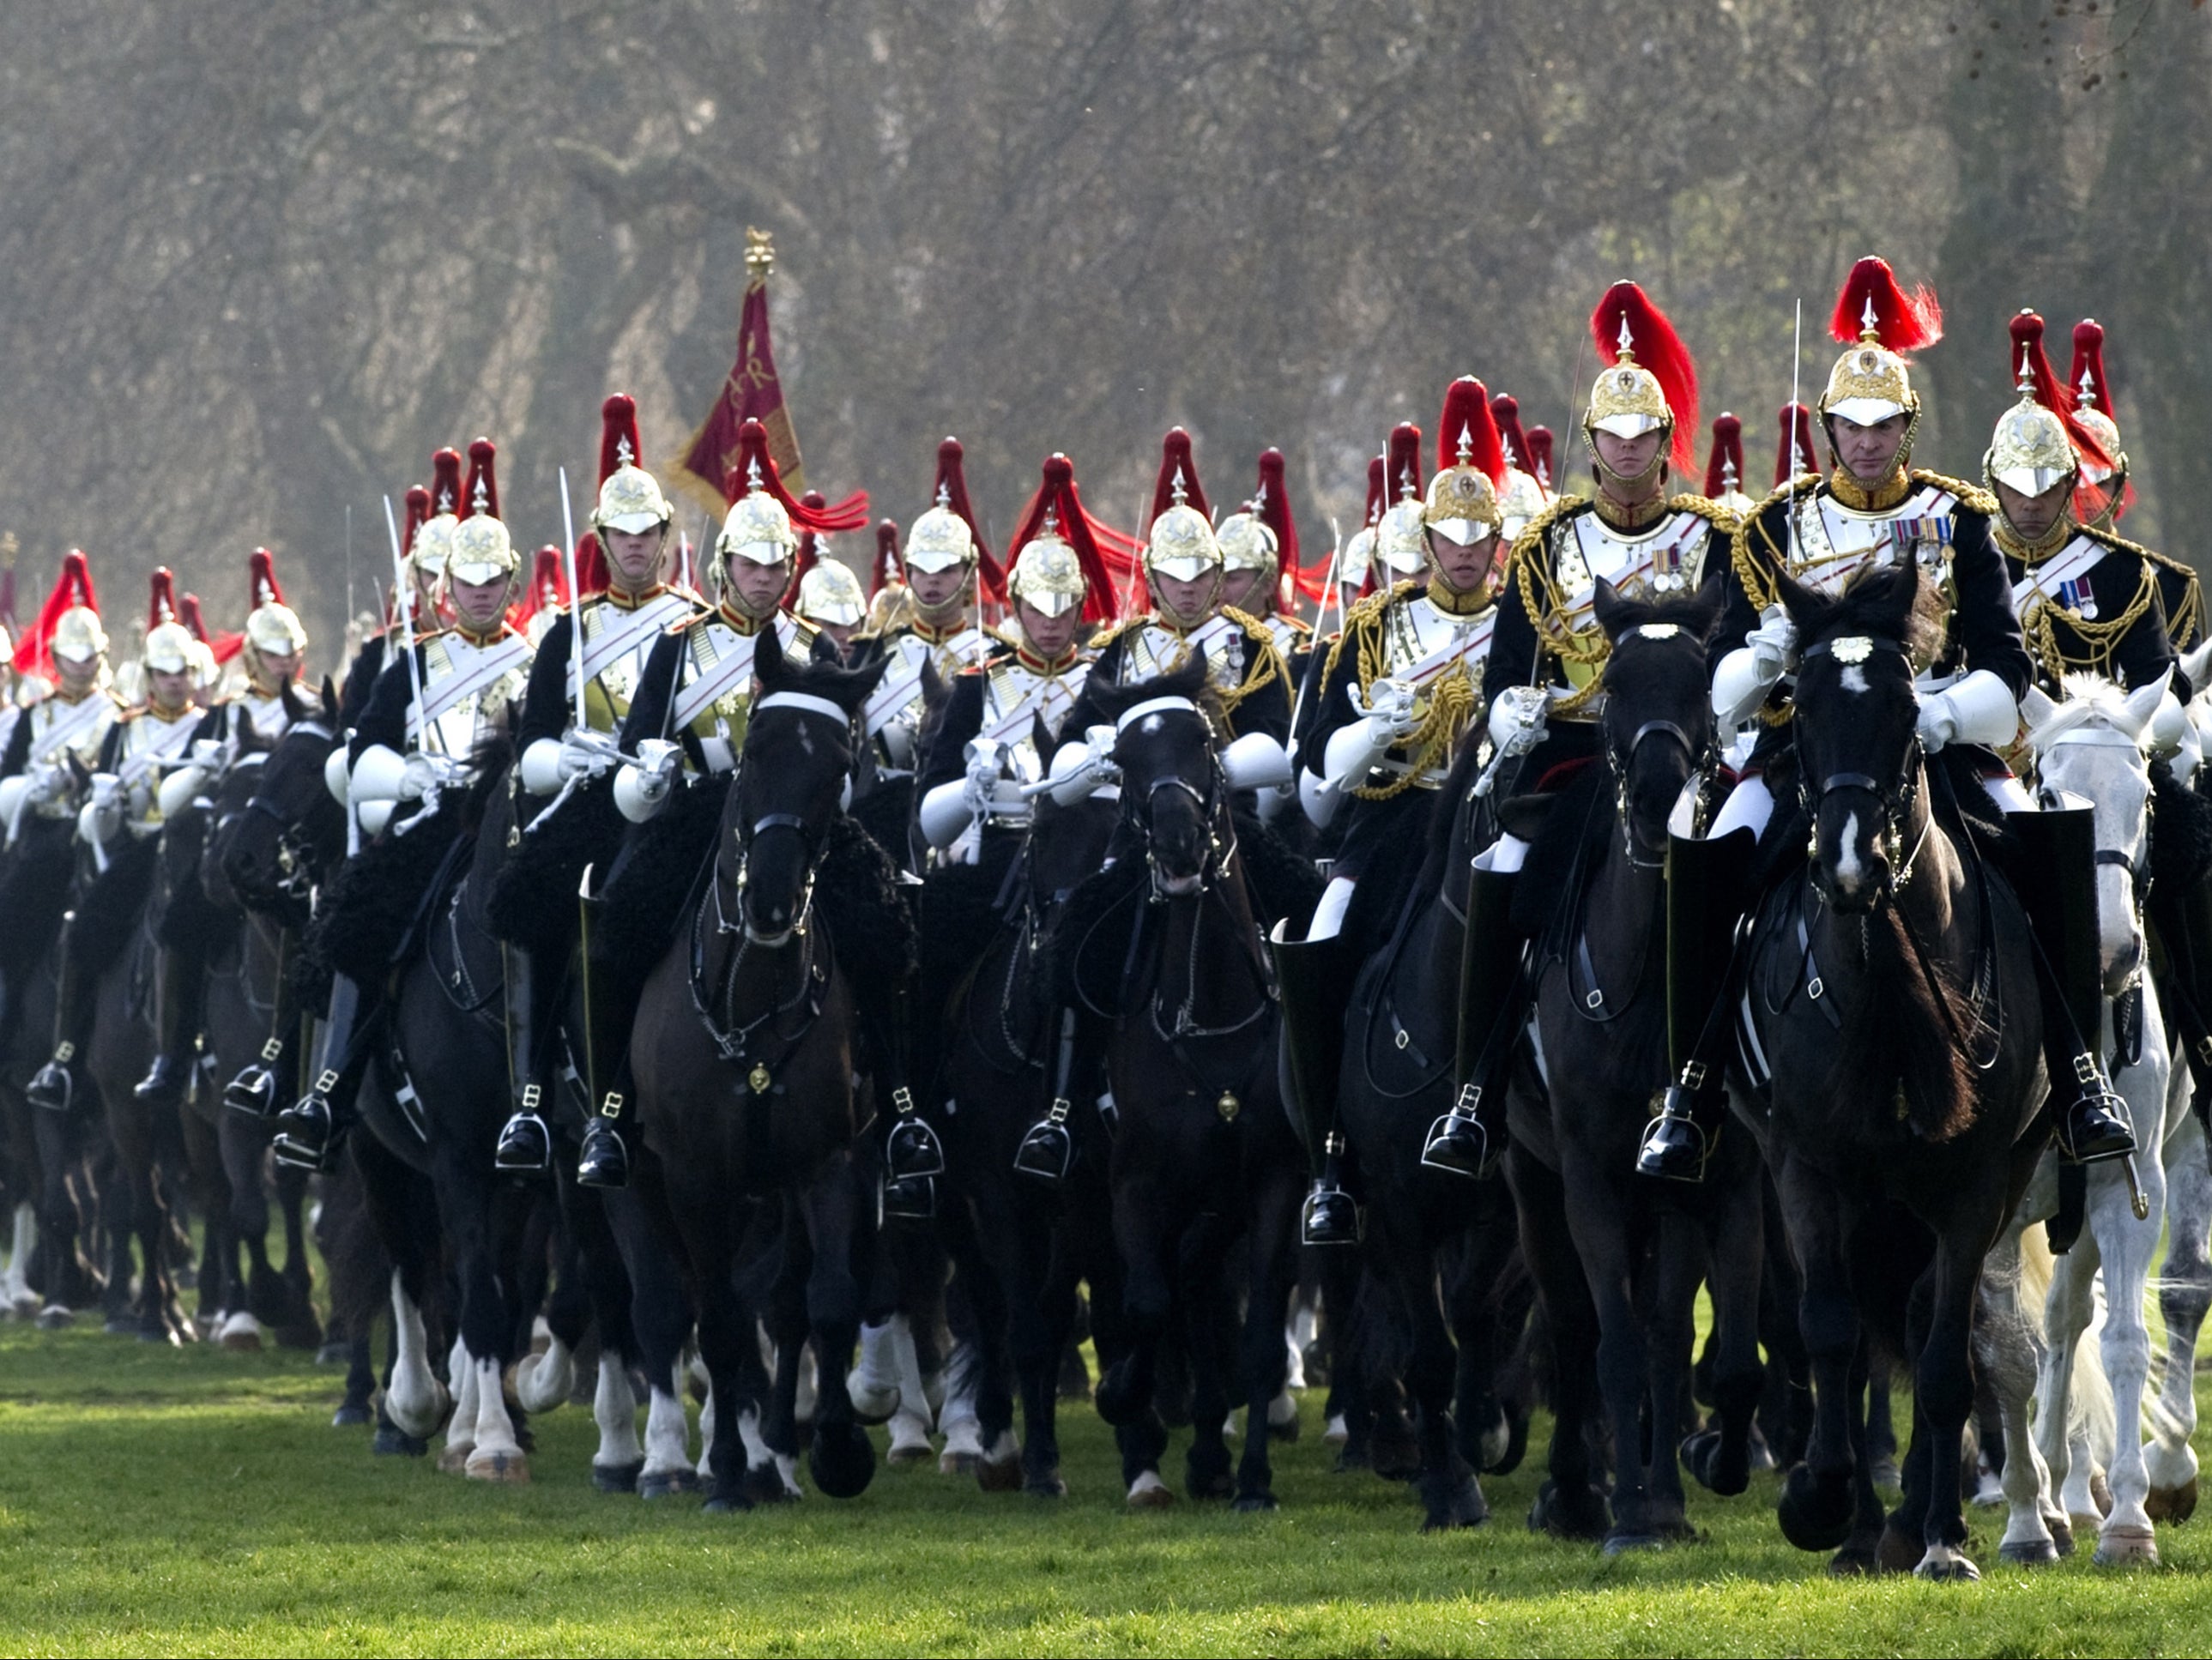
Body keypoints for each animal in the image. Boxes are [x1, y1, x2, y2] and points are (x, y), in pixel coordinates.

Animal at [1734, 561, 2044, 1582]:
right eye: (1798, 705)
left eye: (1910, 711)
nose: (1849, 865)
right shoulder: (1805, 1167)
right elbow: (1830, 1328)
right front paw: (1820, 1500)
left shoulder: (1976, 1185)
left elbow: (1944, 1361)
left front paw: (1940, 1535)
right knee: (1861, 1334)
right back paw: (1865, 1520)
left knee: (1916, 1327)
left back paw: (1916, 1519)